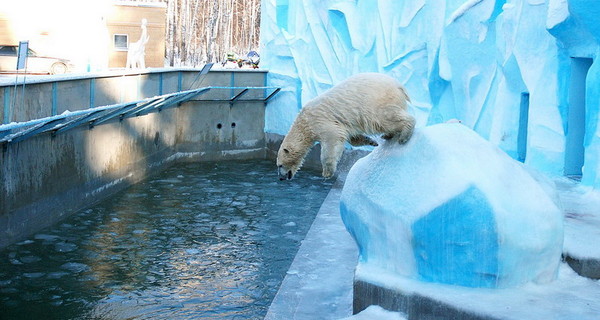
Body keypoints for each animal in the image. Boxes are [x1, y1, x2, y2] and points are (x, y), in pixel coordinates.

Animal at [278, 72, 414, 180]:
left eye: (280, 165)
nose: (281, 178)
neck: (303, 123)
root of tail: (399, 86)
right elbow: (352, 137)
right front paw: (371, 141)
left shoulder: (319, 121)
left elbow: (332, 140)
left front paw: (327, 173)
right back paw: (388, 135)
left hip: (377, 102)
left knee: (385, 118)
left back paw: (404, 135)